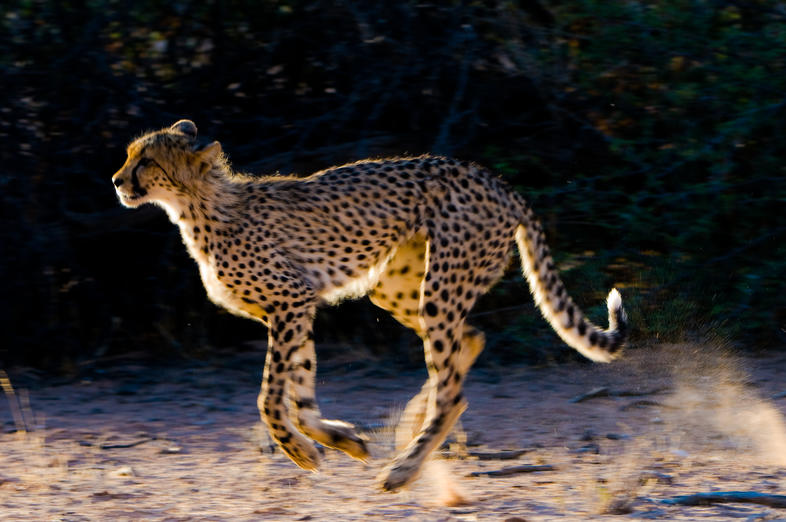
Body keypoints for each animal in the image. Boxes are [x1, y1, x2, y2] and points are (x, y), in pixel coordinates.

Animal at [112, 120, 624, 490]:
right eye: (129, 155)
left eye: (147, 160)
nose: (116, 181)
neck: (200, 205)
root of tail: (498, 182)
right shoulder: (297, 308)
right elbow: (300, 393)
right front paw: (341, 441)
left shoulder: (291, 302)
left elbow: (269, 398)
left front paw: (299, 451)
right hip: (396, 287)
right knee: (469, 341)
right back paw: (406, 430)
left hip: (440, 288)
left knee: (454, 391)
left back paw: (404, 469)